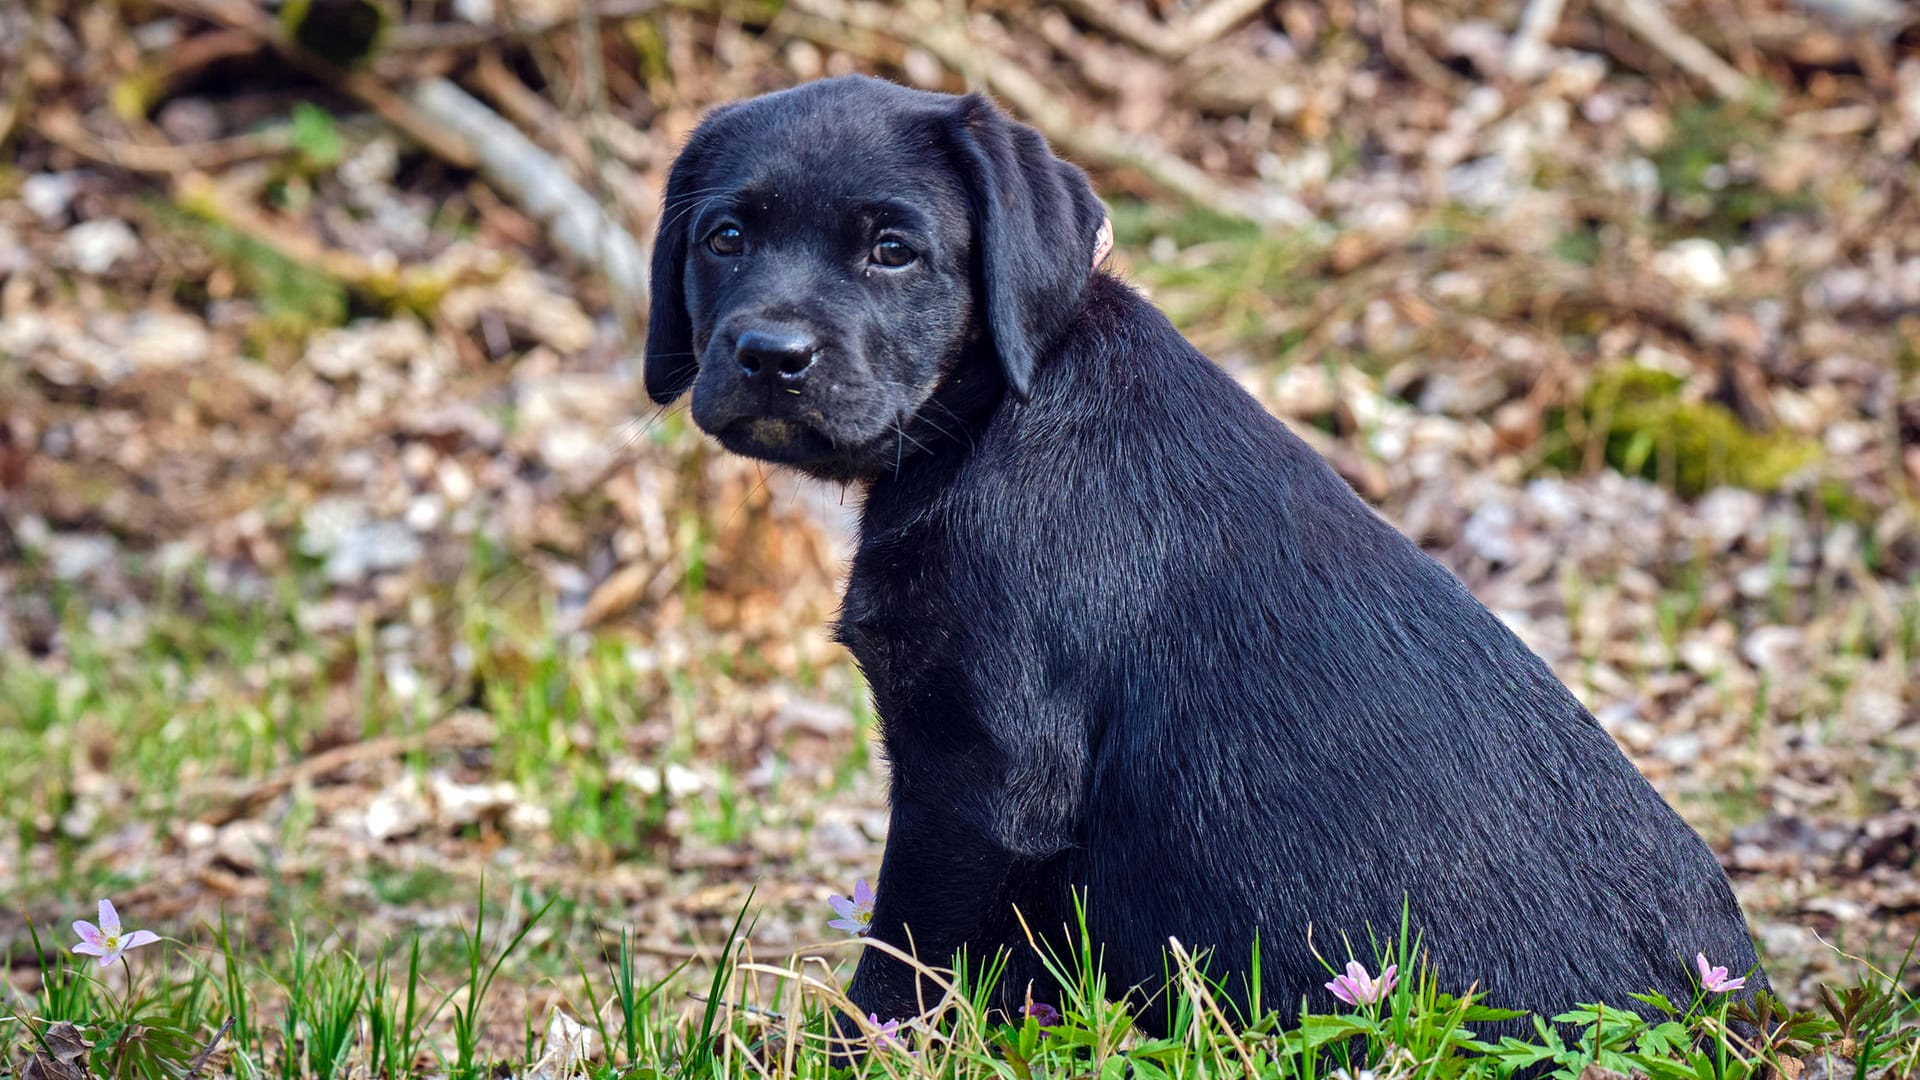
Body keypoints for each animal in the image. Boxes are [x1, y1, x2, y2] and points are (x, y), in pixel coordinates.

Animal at [648, 75, 1766, 1037]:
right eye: (725, 237)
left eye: (891, 249)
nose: (769, 357)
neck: (996, 410)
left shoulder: (980, 784)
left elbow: (898, 974)